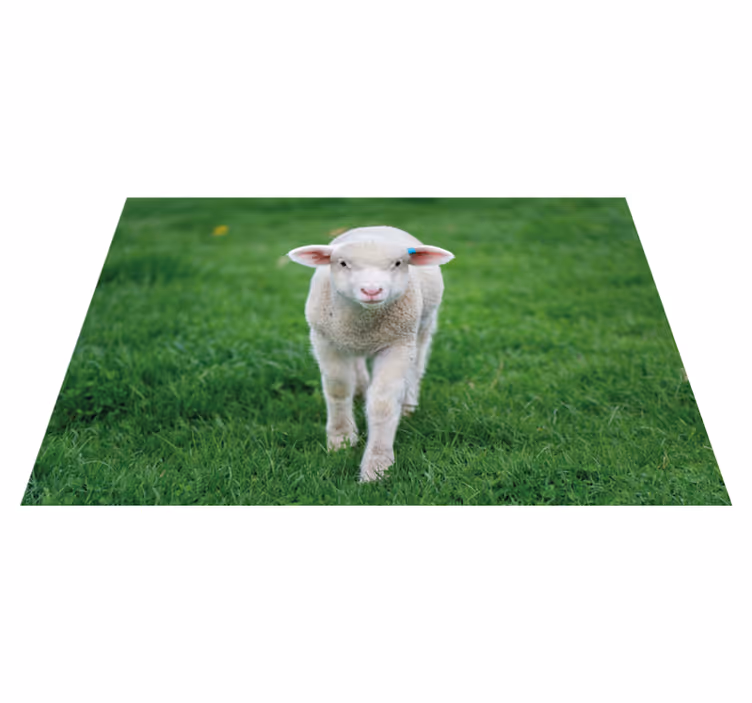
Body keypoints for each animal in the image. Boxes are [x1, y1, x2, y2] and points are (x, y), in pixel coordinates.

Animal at [287, 226, 454, 482]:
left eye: (398, 263)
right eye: (343, 263)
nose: (372, 290)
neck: (364, 321)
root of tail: (377, 227)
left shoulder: (397, 343)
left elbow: (382, 402)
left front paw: (377, 467)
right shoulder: (325, 340)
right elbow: (337, 388)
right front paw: (341, 439)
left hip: (422, 327)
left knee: (416, 368)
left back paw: (408, 405)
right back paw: (360, 388)